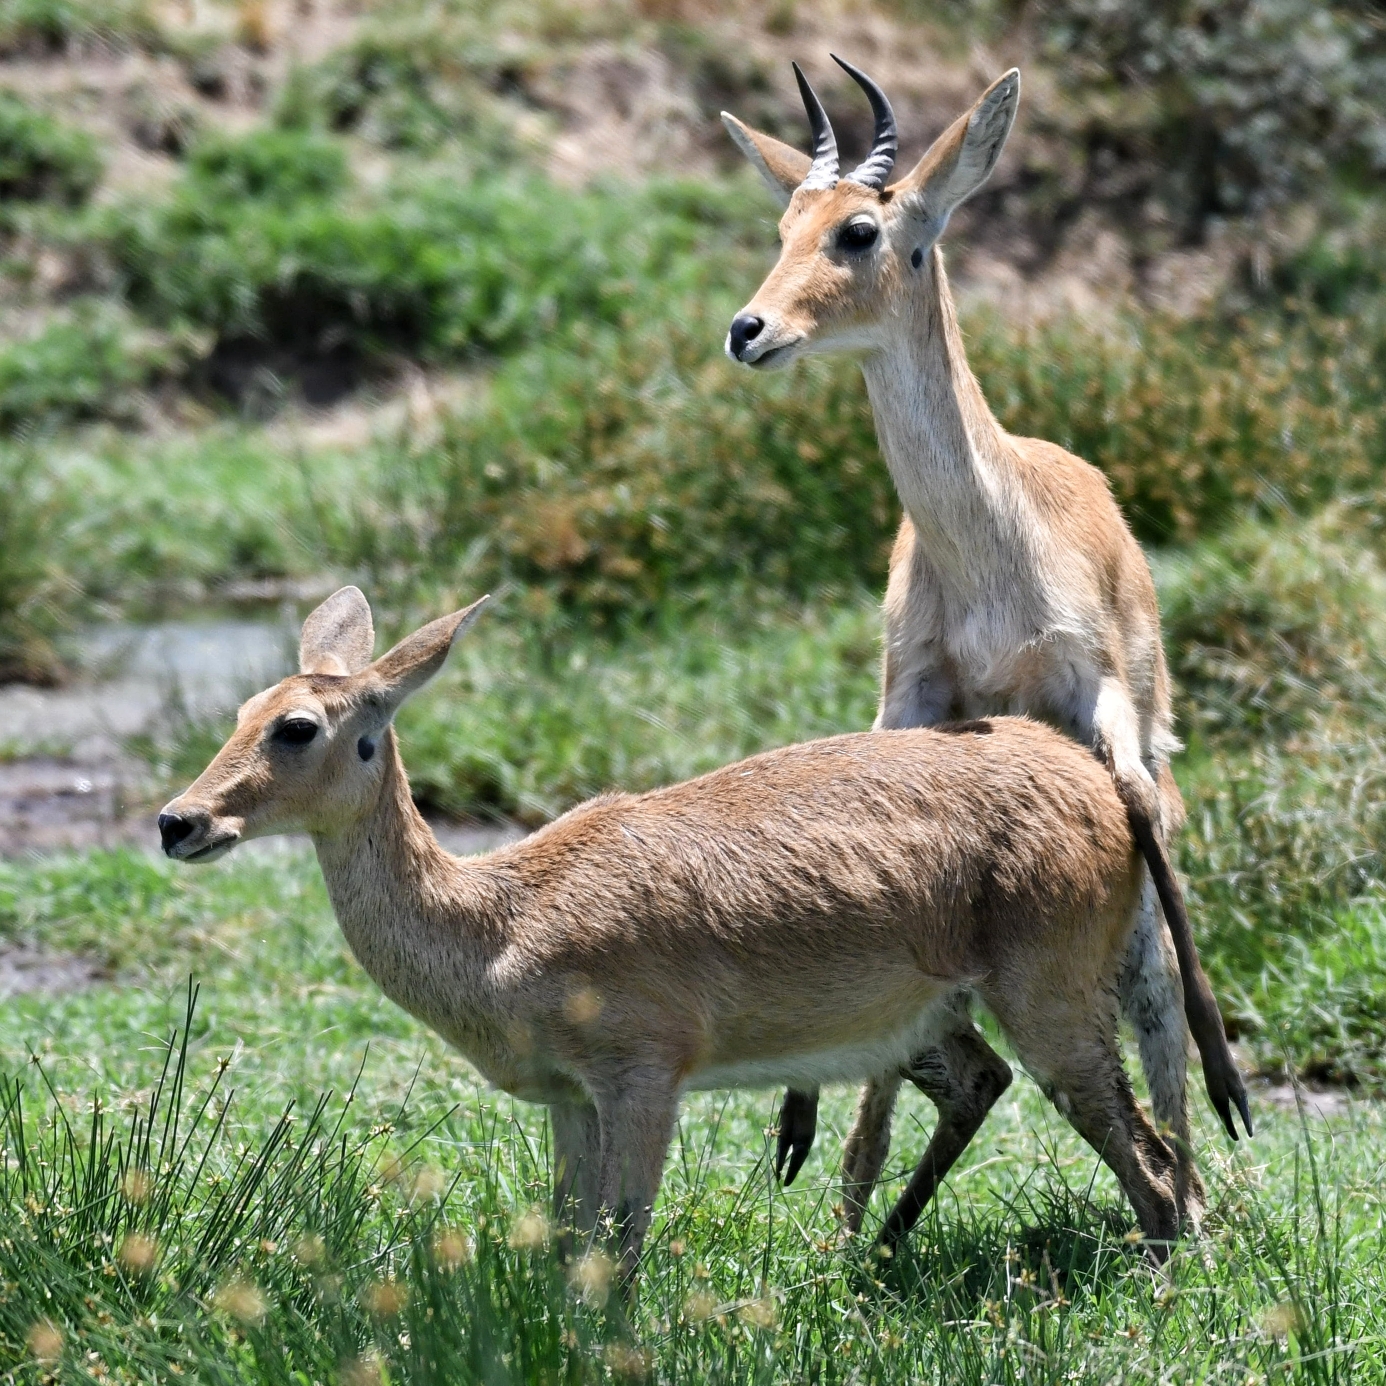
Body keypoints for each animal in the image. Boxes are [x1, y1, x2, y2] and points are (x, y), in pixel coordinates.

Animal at [159, 587, 1191, 1275]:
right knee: (990, 1085)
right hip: (934, 1018)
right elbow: (571, 1239)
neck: (499, 926)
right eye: (241, 709)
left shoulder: (645, 1076)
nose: (179, 821)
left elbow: (620, 1243)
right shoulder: (571, 1098)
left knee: (1150, 1154)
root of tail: (1102, 782)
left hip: (1049, 997)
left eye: (297, 726)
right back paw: (864, 1258)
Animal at [720, 54, 1252, 1236]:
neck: (990, 548)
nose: (749, 329)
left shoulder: (1095, 699)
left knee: (1151, 983)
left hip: (1140, 782)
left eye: (861, 230)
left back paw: (1197, 1196)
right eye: (783, 221)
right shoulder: (912, 700)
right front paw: (818, 1156)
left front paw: (1226, 1102)